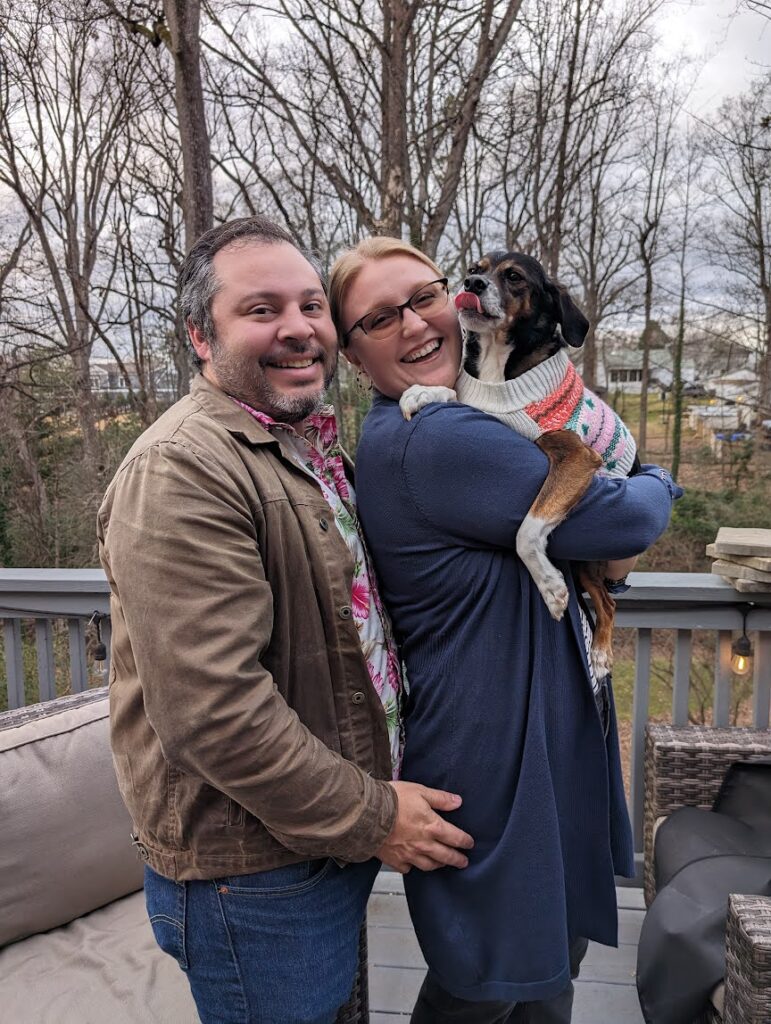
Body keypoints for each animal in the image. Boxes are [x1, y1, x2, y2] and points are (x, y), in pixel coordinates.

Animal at [397, 249, 638, 679]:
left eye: (513, 277)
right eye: (474, 269)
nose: (471, 285)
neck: (501, 375)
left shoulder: (576, 457)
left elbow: (526, 531)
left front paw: (550, 588)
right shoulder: (481, 406)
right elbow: (453, 393)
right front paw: (423, 391)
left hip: (590, 561)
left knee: (608, 604)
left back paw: (601, 654)